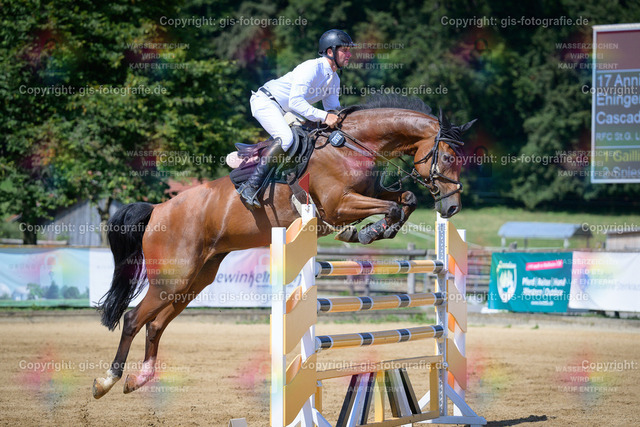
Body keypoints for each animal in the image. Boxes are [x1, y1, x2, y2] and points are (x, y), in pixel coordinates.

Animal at [92, 96, 475, 398]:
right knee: (132, 319)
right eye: (447, 158)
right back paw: (107, 381)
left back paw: (139, 379)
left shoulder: (370, 193)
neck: (352, 146)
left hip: (195, 279)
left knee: (155, 324)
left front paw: (374, 231)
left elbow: (405, 200)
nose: (452, 208)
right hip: (172, 276)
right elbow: (392, 207)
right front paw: (362, 234)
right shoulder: (339, 204)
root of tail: (158, 209)